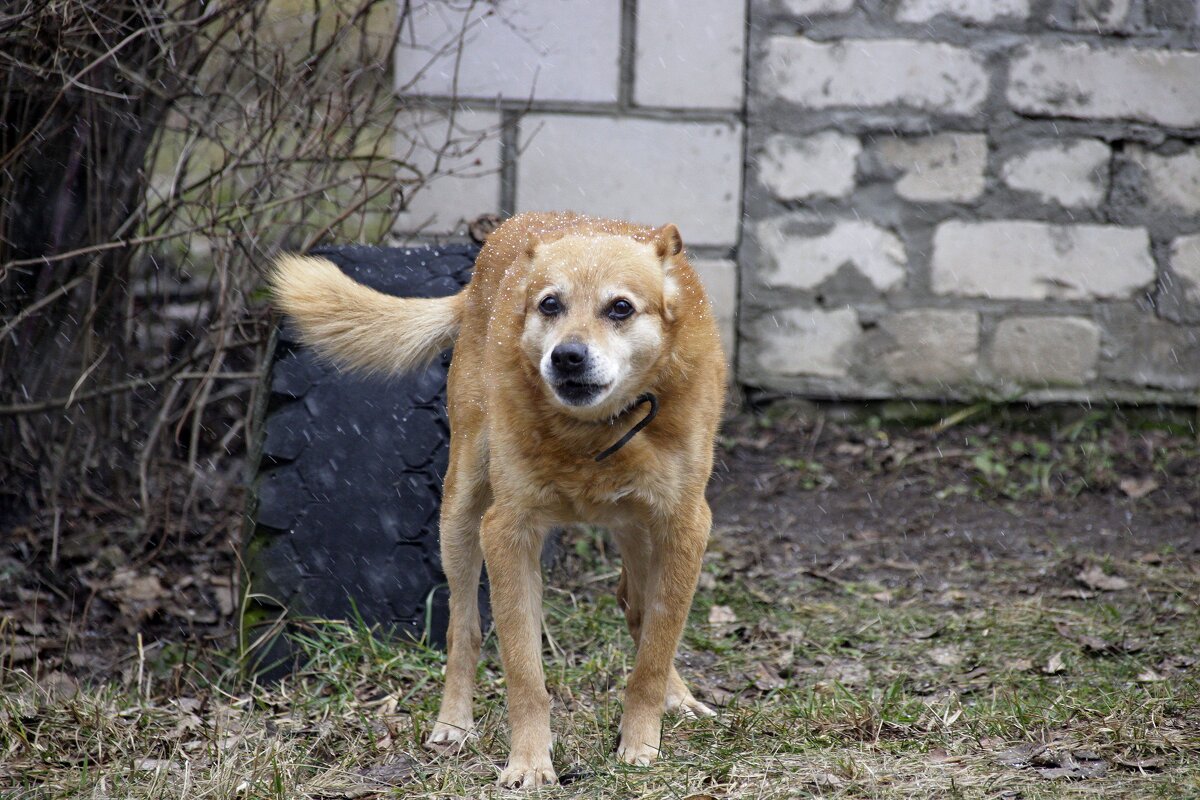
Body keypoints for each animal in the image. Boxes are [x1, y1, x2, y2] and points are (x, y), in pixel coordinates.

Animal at [270, 211, 720, 786]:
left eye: (621, 307)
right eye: (549, 304)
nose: (566, 356)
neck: (593, 432)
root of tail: (509, 230)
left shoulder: (684, 526)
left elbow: (655, 652)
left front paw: (640, 741)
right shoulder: (508, 532)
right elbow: (524, 672)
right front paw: (528, 762)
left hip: (639, 528)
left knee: (638, 608)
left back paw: (676, 696)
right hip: (460, 512)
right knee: (463, 631)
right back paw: (453, 724)